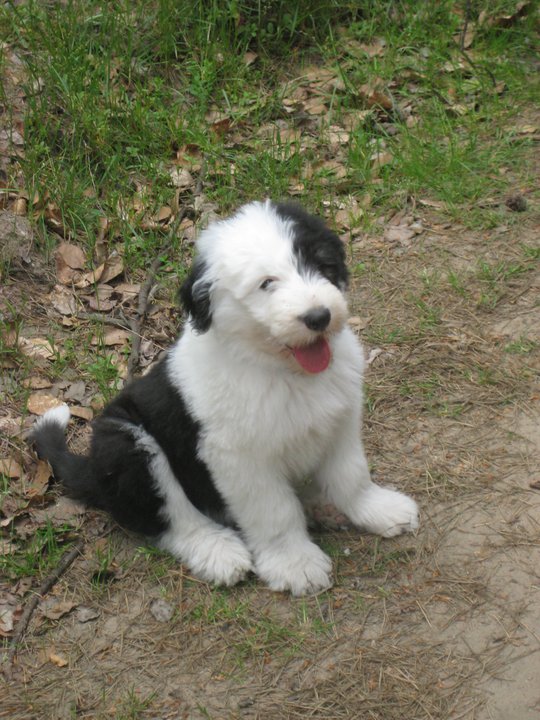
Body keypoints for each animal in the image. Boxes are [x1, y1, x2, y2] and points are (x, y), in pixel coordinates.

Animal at [31, 200, 418, 596]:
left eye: (322, 264)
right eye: (266, 283)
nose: (318, 317)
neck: (281, 371)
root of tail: (93, 470)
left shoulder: (340, 419)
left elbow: (351, 474)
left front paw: (378, 508)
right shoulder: (238, 457)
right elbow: (274, 510)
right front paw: (295, 564)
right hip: (126, 445)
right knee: (172, 519)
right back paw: (217, 551)